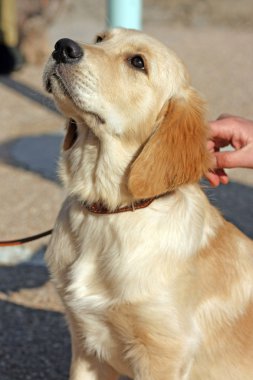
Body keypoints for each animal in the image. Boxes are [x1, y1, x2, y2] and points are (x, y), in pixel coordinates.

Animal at [43, 28, 253, 378]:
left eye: (138, 62)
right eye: (99, 38)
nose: (63, 47)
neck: (108, 214)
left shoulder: (162, 353)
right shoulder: (85, 343)